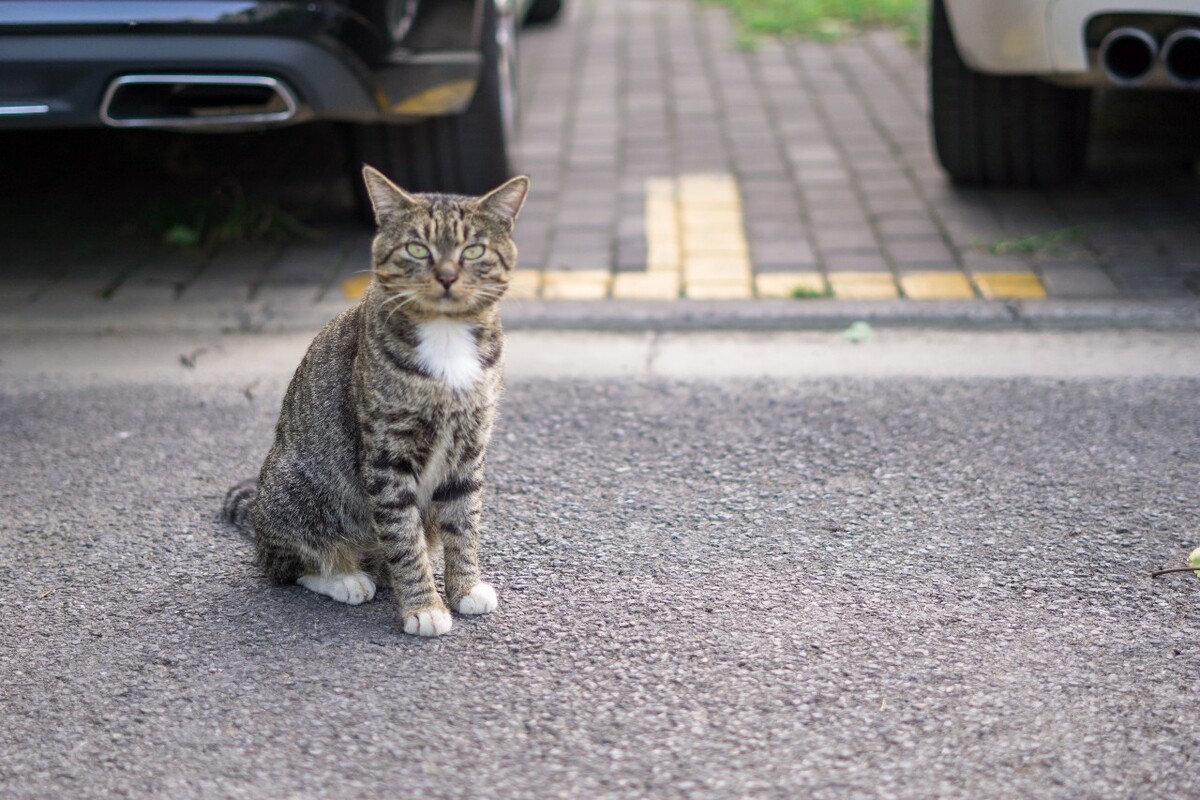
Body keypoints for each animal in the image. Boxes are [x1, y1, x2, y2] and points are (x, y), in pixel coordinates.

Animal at [223, 167, 528, 638]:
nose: (446, 276)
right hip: (299, 489)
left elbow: (464, 523)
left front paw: (463, 588)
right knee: (285, 565)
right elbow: (403, 539)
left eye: (473, 250)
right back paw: (345, 577)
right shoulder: (387, 456)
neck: (445, 336)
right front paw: (424, 607)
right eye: (417, 249)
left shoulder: (469, 446)